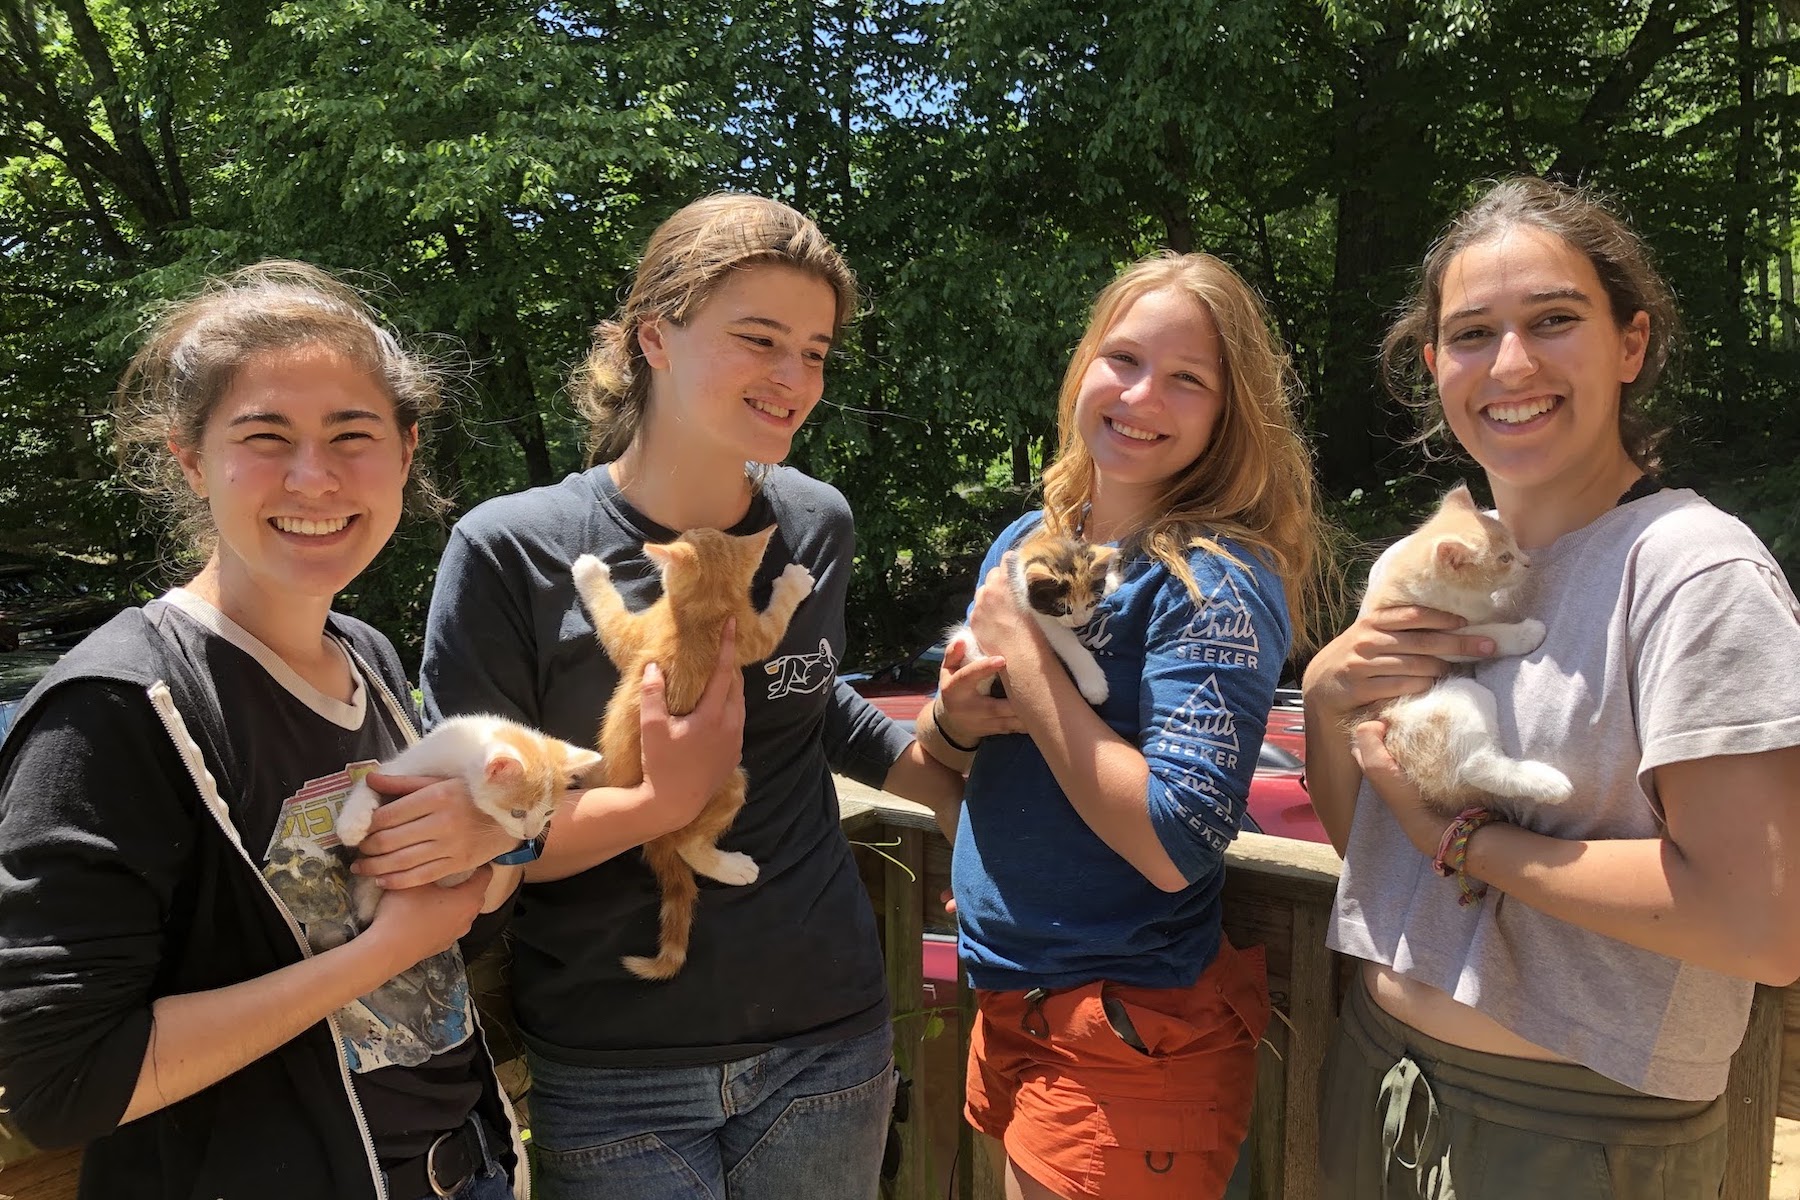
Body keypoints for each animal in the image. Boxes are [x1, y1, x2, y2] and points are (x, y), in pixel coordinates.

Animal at [338, 719, 612, 928]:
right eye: (517, 812)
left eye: (549, 813)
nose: (530, 834)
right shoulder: (399, 768)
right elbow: (370, 783)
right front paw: (351, 824)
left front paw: (453, 876)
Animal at [568, 528, 817, 978]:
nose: (679, 531)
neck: (703, 612)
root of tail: (655, 835)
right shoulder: (739, 633)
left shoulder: (652, 636)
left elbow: (612, 623)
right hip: (728, 781)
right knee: (685, 840)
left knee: (685, 842)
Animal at [950, 525, 1116, 705]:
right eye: (1064, 608)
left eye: (1090, 604)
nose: (1079, 622)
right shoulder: (1040, 614)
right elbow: (1066, 641)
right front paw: (1094, 685)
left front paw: (1112, 581)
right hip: (965, 638)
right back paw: (984, 673)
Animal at [1360, 485, 1576, 816]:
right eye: (1504, 558)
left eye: (1514, 544)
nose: (1527, 561)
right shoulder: (1443, 636)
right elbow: (1490, 634)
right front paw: (1526, 632)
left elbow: (1490, 618)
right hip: (1464, 698)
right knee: (1477, 766)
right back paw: (1549, 784)